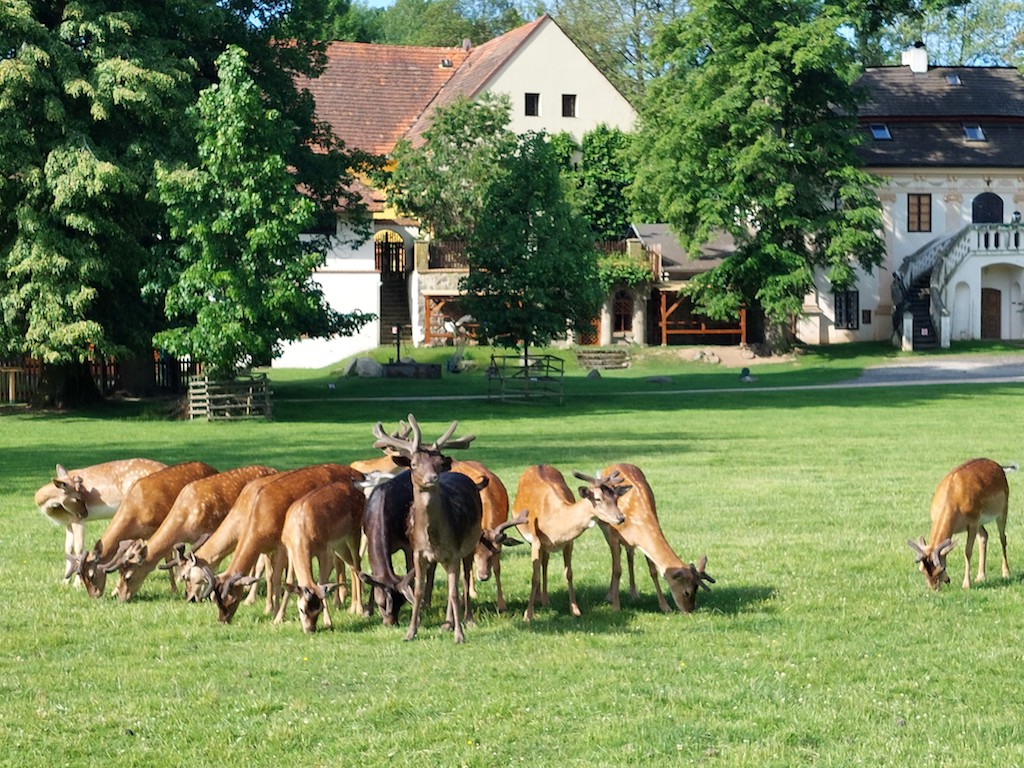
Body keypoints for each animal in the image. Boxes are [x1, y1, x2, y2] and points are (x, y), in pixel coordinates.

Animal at [35, 460, 165, 581]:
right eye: (77, 498)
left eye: (81, 495)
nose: (85, 513)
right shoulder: (68, 523)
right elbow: (68, 549)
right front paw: (65, 581)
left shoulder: (77, 519)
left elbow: (78, 548)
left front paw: (77, 583)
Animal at [76, 460, 219, 598]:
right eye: (81, 577)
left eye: (91, 575)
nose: (94, 596)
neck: (136, 511)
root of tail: (214, 469)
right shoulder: (140, 535)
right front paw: (115, 591)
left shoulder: (157, 527)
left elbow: (166, 556)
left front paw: (174, 590)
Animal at [114, 466, 276, 606]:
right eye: (118, 574)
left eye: (128, 577)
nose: (121, 598)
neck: (185, 517)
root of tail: (273, 469)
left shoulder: (207, 532)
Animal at [905, 460, 1015, 593]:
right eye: (921, 569)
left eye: (942, 568)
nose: (934, 588)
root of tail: (999, 466)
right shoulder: (974, 522)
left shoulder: (972, 523)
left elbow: (967, 551)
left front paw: (966, 584)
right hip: (980, 521)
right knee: (984, 536)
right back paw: (981, 577)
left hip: (1003, 509)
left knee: (1002, 538)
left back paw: (1006, 573)